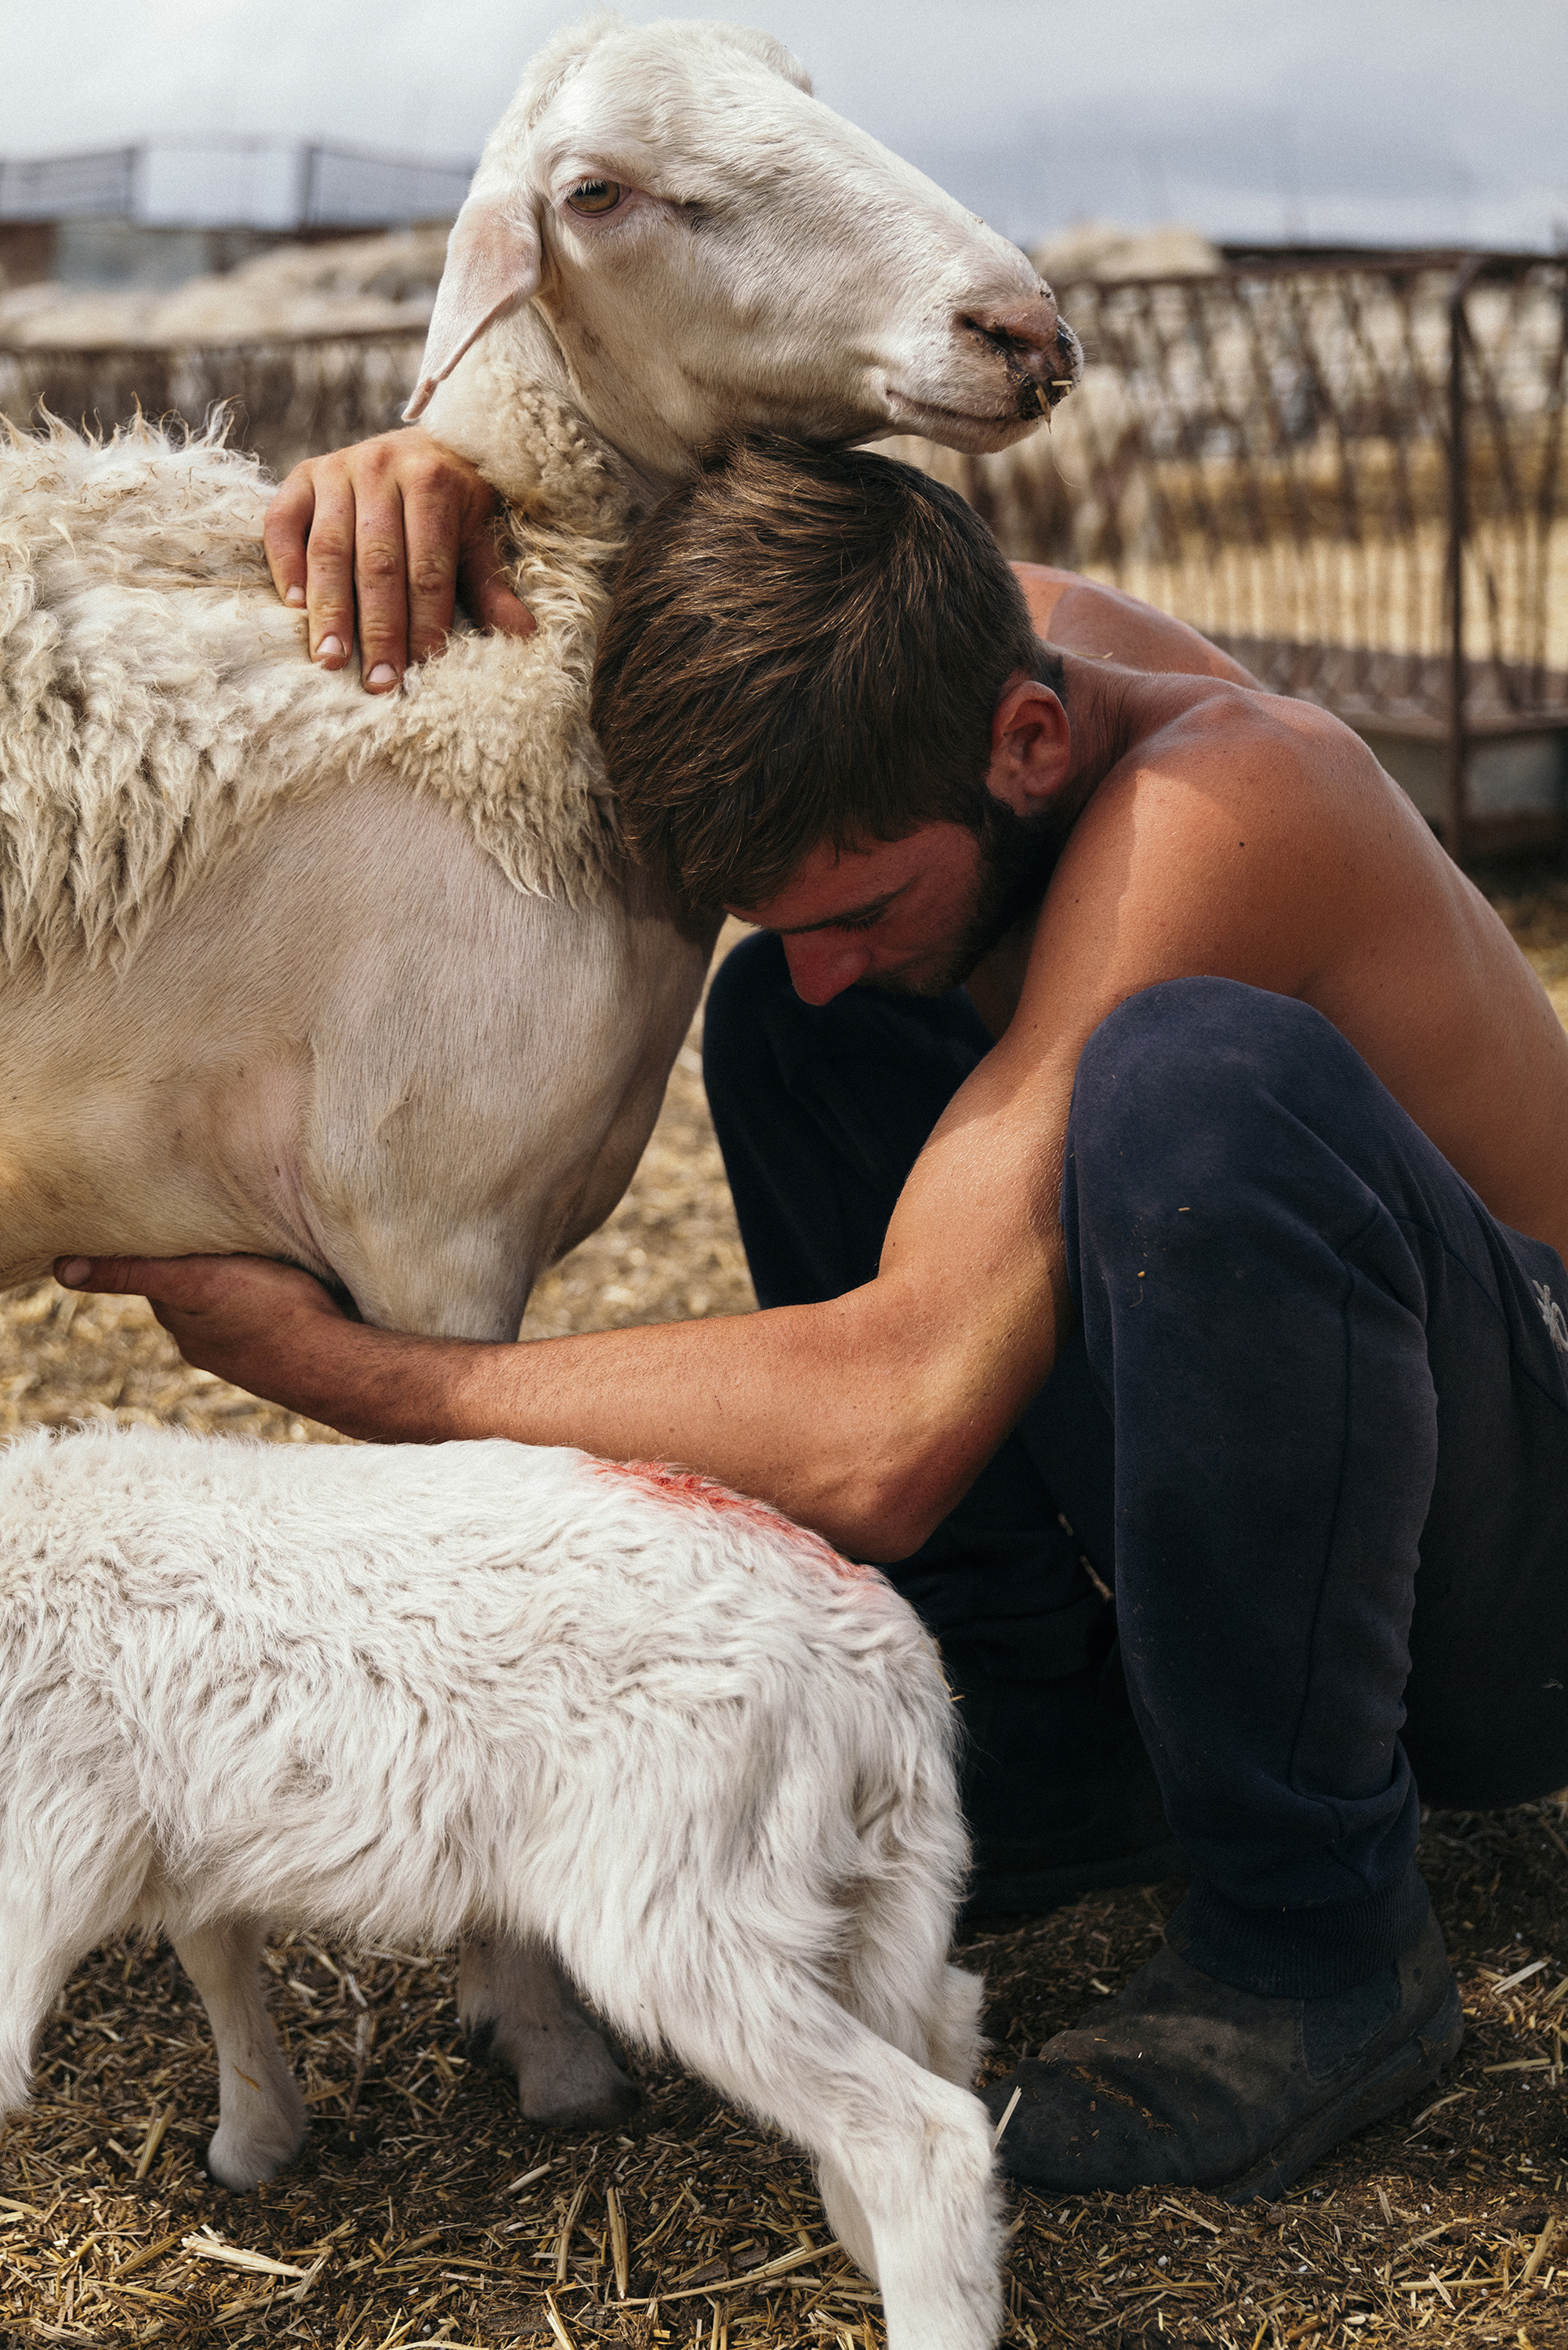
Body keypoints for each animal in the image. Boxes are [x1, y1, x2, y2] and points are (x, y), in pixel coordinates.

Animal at [0, 1419, 1006, 2341]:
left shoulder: (36, 1866)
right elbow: (213, 1952)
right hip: (871, 1881)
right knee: (948, 2022)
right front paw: (255, 2141)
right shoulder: (176, 1831)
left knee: (922, 2139)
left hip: (682, 1905)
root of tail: (878, 1659)